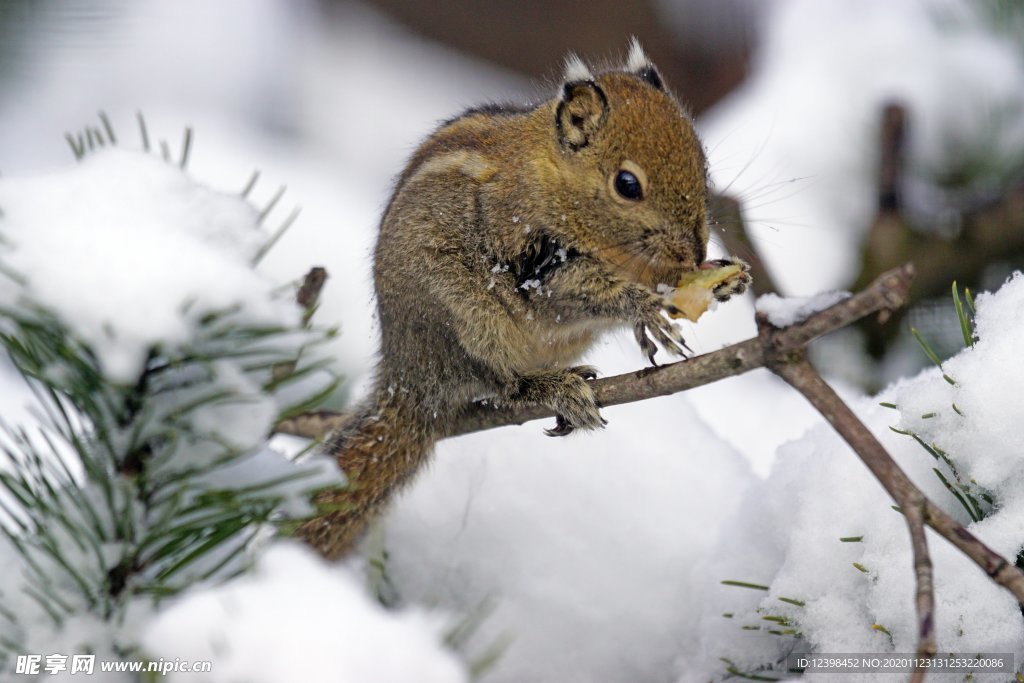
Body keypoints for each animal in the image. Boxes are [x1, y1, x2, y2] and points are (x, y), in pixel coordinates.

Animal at [299, 40, 749, 557]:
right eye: (627, 184)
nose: (694, 252)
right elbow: (584, 294)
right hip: (468, 323)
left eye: (702, 161)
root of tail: (407, 380)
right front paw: (646, 308)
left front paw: (721, 280)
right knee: (502, 384)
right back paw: (552, 389)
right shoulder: (532, 260)